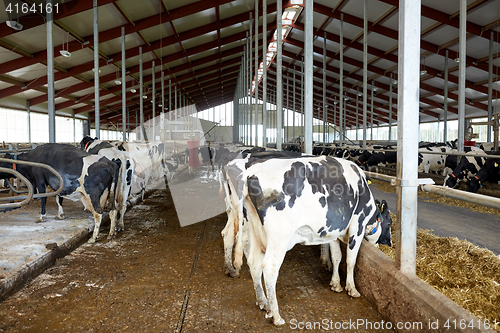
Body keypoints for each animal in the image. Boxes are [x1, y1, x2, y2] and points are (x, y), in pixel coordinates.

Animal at [225, 154, 388, 324]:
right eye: (388, 225)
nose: (381, 246)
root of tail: (251, 171)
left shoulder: (334, 230)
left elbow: (337, 256)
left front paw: (335, 283)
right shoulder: (357, 226)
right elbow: (350, 260)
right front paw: (352, 288)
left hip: (254, 228)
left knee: (253, 262)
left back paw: (263, 302)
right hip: (279, 238)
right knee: (269, 268)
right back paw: (276, 315)